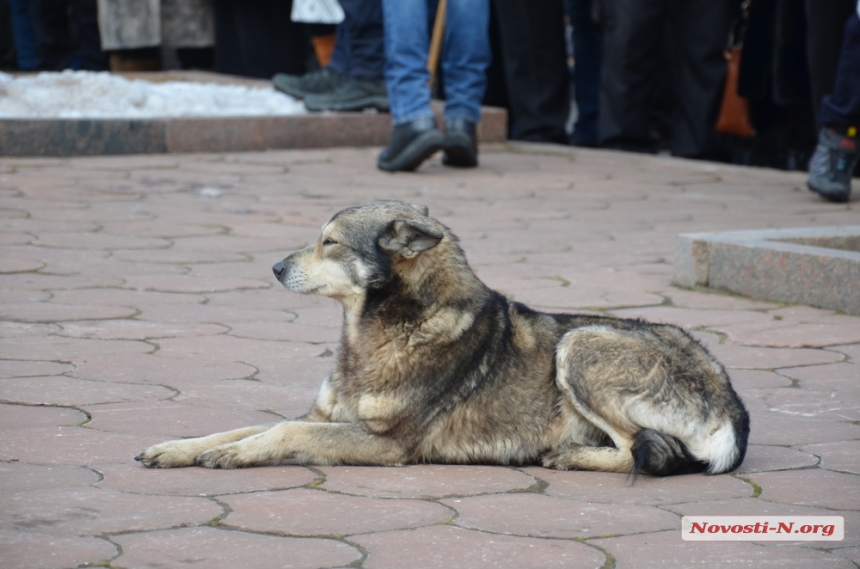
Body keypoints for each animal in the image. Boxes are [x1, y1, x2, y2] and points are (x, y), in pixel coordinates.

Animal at [138, 200, 748, 474]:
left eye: (329, 243)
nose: (274, 268)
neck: (384, 333)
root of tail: (735, 409)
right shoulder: (325, 417)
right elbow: (245, 426)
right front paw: (179, 448)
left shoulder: (386, 445)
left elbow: (282, 431)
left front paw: (233, 455)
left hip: (580, 345)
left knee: (638, 452)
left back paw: (571, 455)